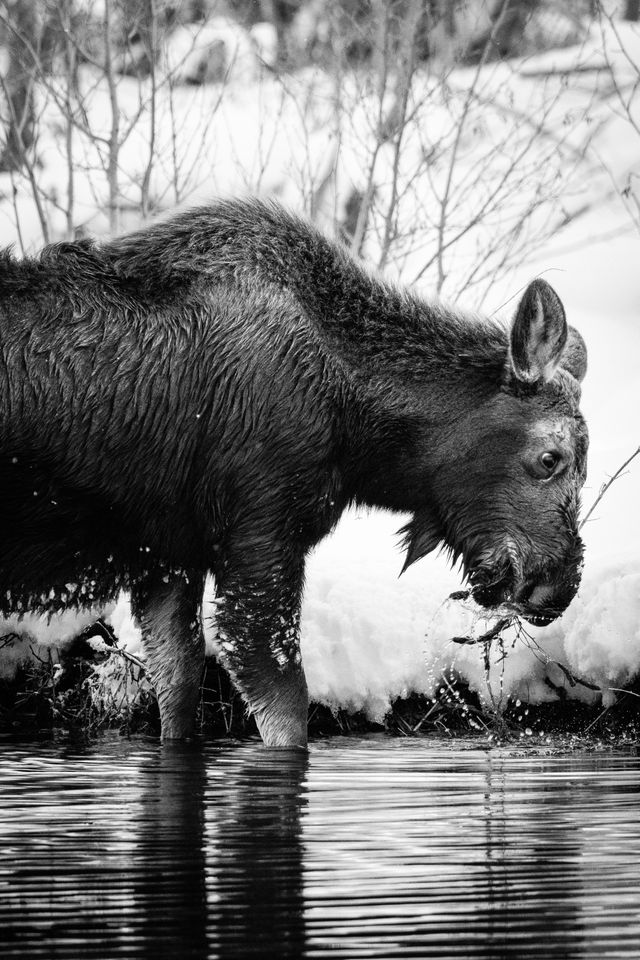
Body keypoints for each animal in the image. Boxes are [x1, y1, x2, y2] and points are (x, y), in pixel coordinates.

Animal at [0, 199, 588, 748]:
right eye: (551, 459)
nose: (556, 588)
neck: (357, 432)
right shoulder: (259, 538)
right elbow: (285, 703)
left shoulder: (169, 556)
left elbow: (179, 688)